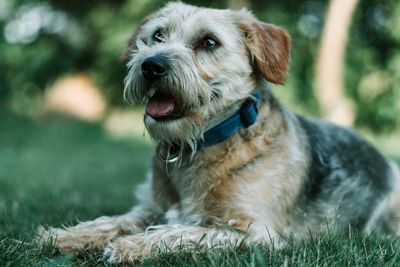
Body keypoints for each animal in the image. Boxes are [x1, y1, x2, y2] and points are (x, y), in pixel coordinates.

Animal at [39, 1, 400, 262]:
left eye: (209, 42)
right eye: (157, 35)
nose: (151, 65)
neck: (198, 146)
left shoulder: (253, 234)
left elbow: (180, 232)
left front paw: (131, 246)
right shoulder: (149, 208)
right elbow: (112, 221)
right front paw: (64, 236)